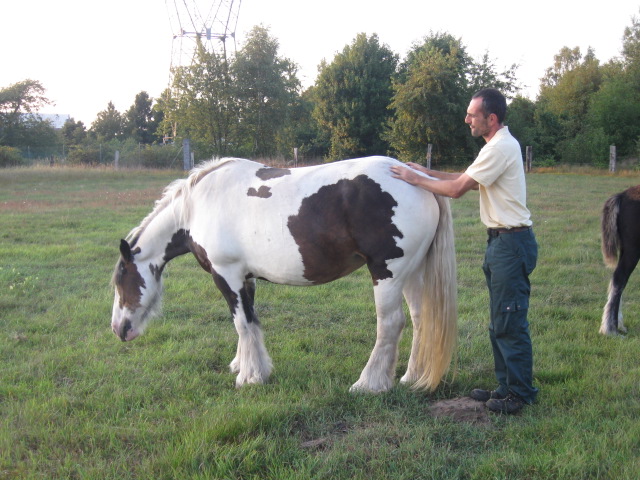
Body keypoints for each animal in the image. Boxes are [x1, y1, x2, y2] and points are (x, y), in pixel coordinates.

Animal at [112, 156, 458, 392]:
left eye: (120, 280)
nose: (119, 329)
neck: (197, 207)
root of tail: (417, 177)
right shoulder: (245, 278)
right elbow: (250, 322)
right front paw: (246, 365)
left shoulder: (226, 275)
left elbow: (242, 323)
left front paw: (250, 377)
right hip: (412, 273)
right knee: (420, 318)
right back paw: (411, 376)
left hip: (387, 272)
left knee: (390, 324)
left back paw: (368, 384)